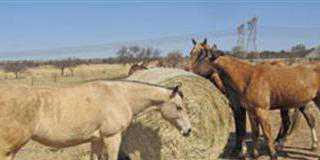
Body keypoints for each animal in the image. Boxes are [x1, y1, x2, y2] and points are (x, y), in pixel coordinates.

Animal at [186, 38, 318, 159]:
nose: (188, 71)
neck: (248, 77)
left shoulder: (259, 110)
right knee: (306, 120)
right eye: (191, 52)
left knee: (291, 122)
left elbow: (264, 132)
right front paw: (253, 154)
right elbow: (253, 131)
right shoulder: (249, 110)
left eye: (200, 57)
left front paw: (272, 155)